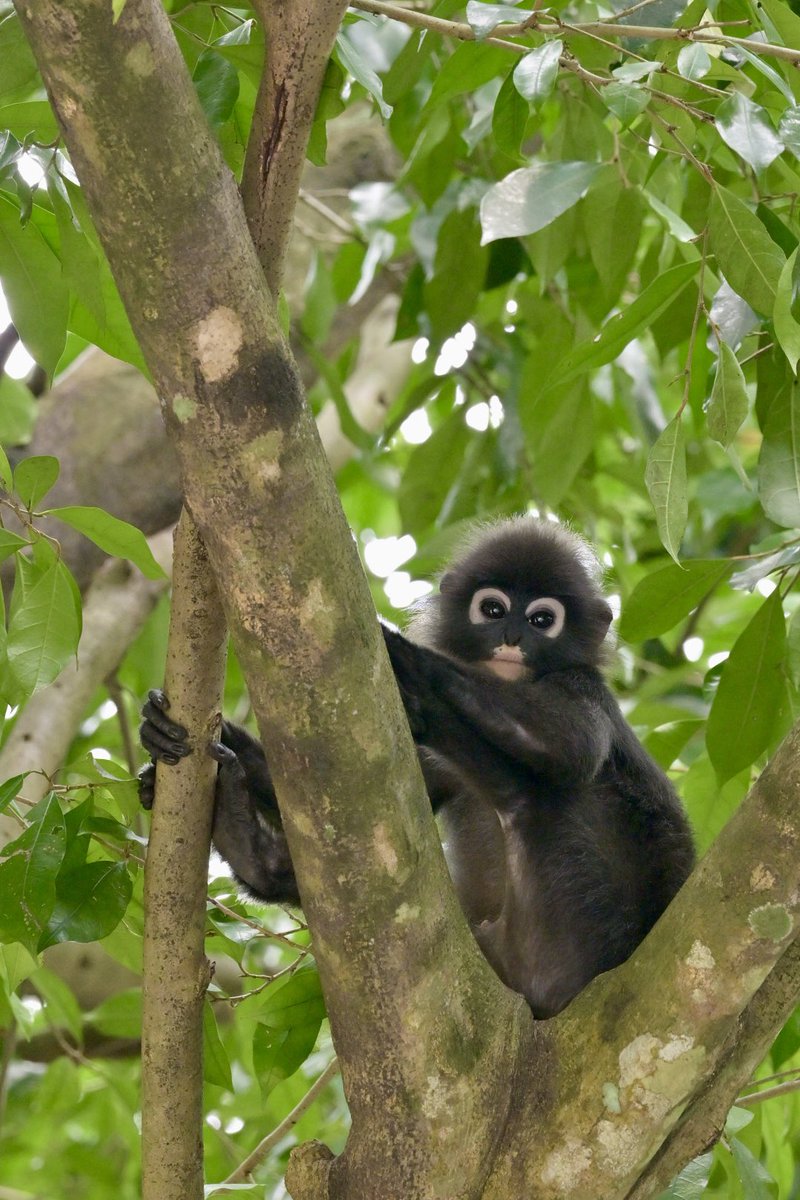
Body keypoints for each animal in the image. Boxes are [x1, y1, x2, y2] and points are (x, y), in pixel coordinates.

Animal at [140, 517, 695, 1018]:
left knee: (534, 792)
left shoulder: (584, 687)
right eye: (493, 609)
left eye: (542, 620)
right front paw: (170, 740)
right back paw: (243, 836)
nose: (512, 636)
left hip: (578, 925)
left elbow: (571, 744)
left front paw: (407, 656)